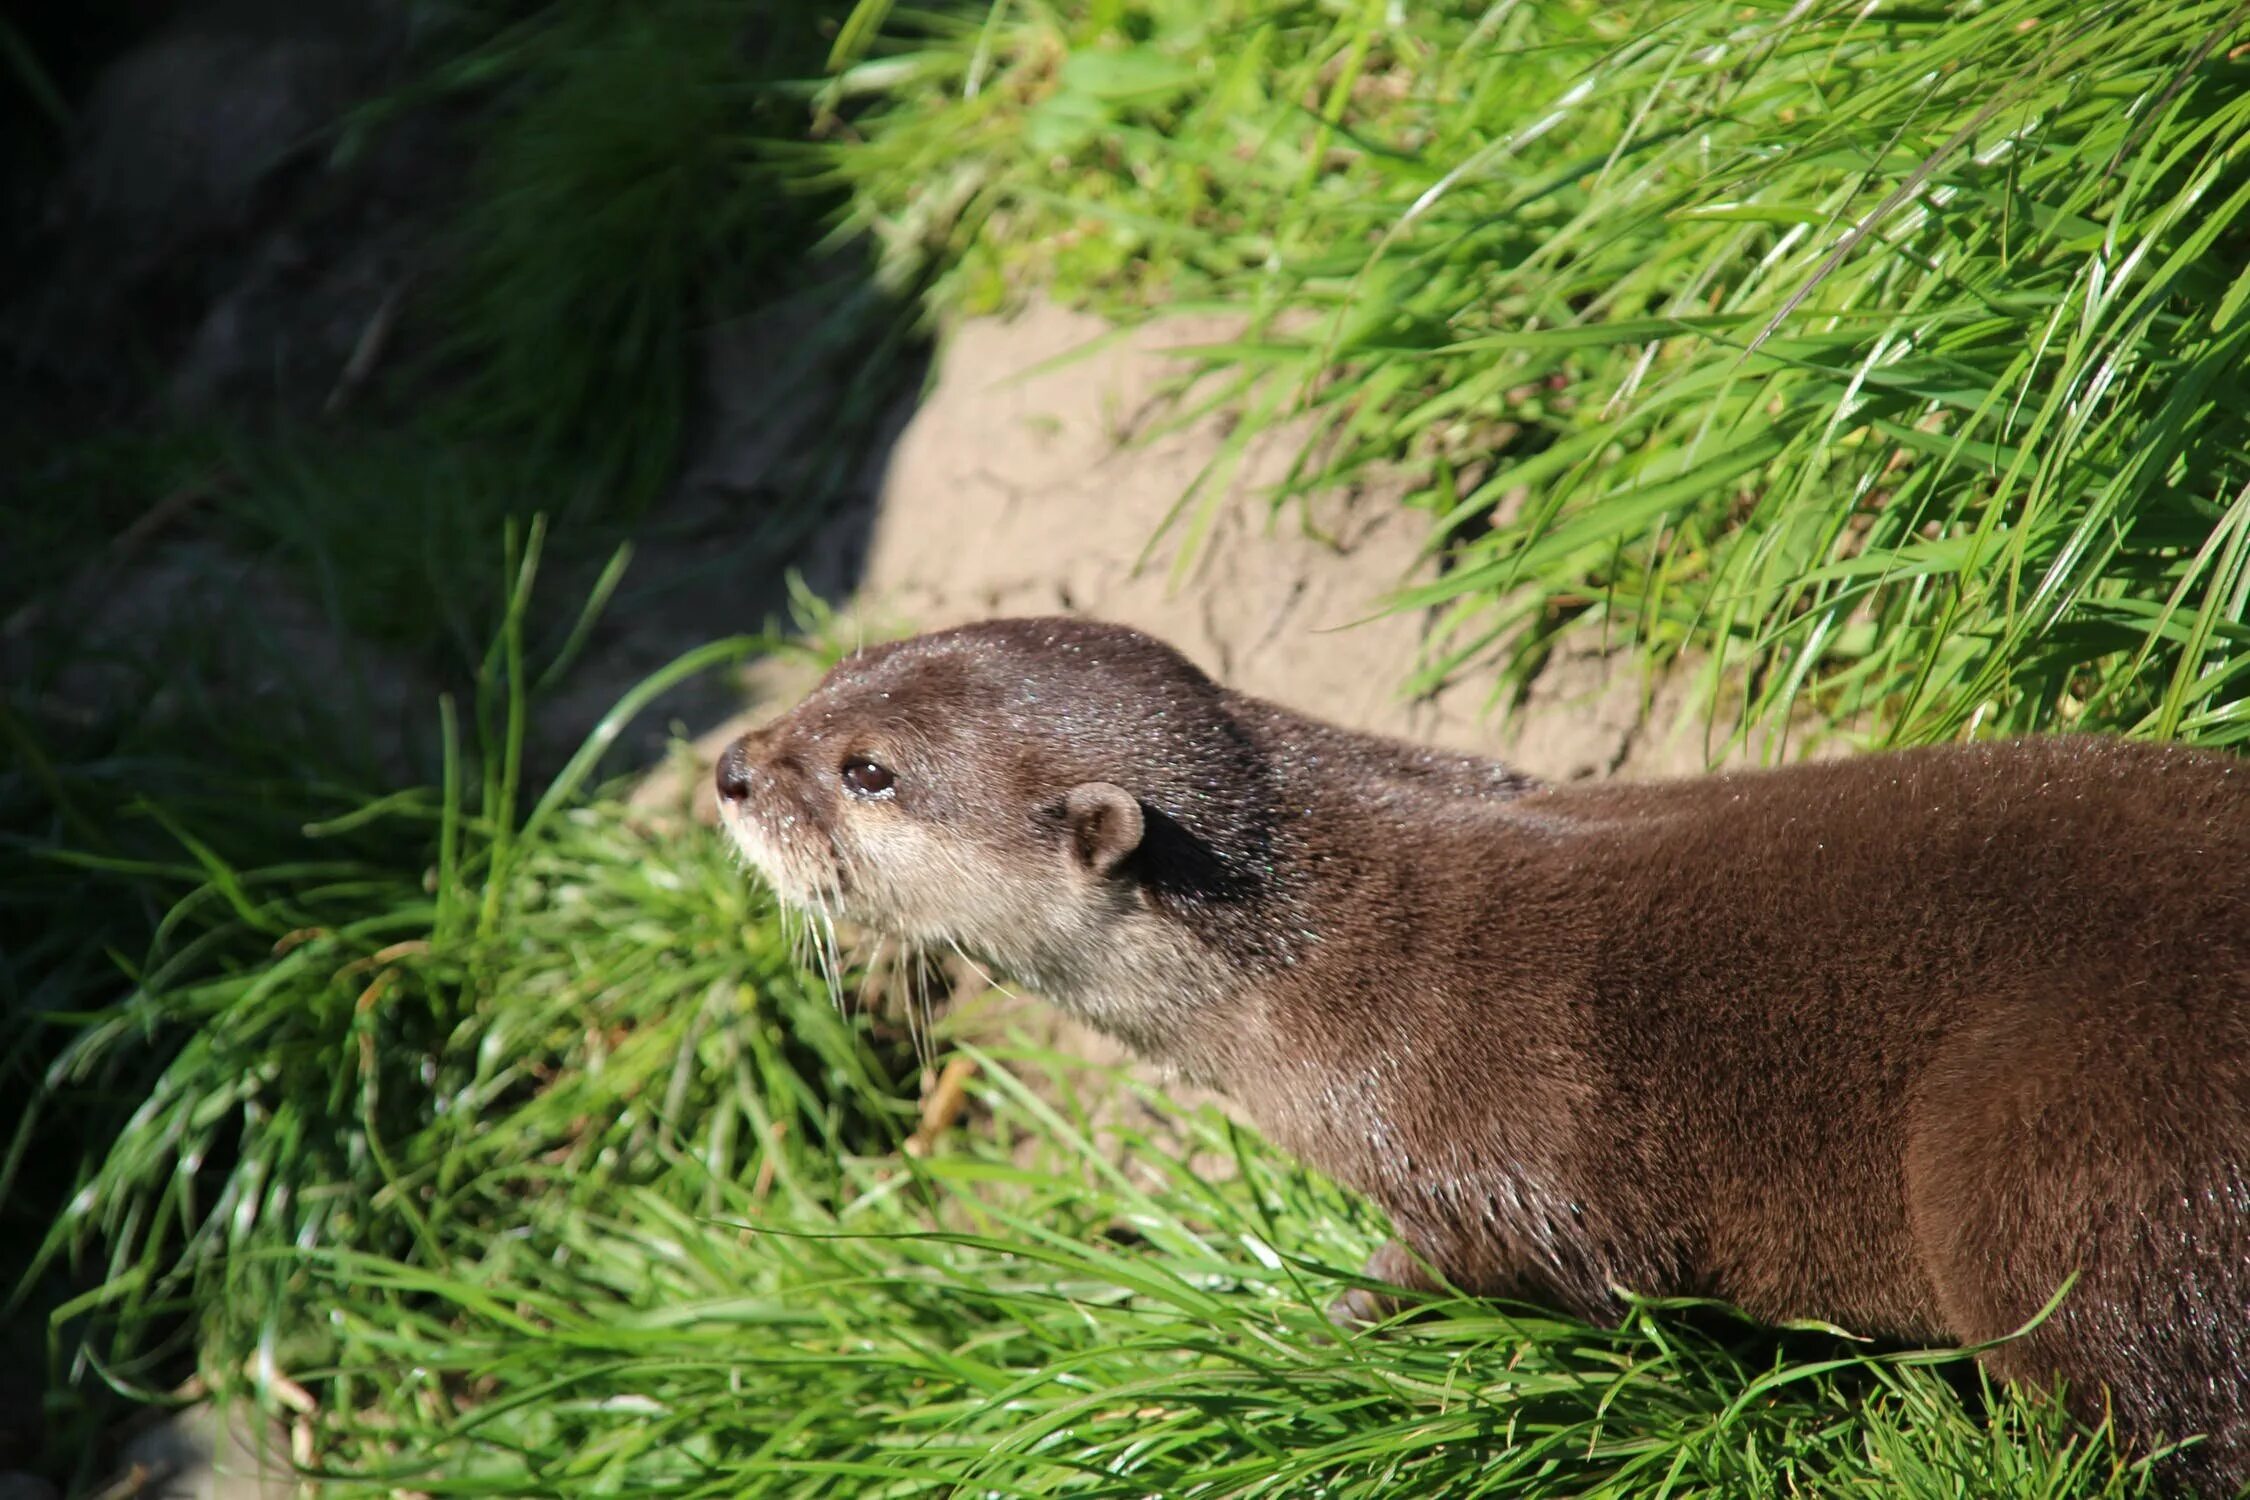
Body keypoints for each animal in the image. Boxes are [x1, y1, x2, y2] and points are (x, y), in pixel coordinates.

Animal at [711, 611, 2250, 1493]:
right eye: (831, 680)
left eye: (867, 772)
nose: (728, 770)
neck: (1328, 972)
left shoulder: (1498, 1166)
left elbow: (1525, 1277)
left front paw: (1307, 1335)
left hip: (2056, 1172)